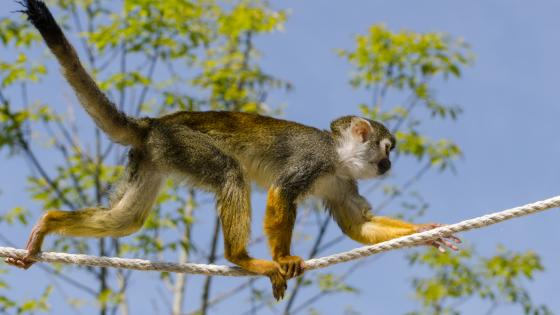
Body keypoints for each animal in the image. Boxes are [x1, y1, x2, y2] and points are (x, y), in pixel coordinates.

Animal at [7, 0, 460, 302]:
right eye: (386, 149)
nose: (388, 164)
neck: (337, 157)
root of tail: (154, 124)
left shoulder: (342, 179)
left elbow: (356, 224)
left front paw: (427, 233)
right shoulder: (313, 159)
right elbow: (283, 192)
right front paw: (284, 258)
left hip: (154, 155)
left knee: (125, 220)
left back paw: (48, 223)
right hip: (182, 143)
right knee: (228, 172)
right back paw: (241, 257)